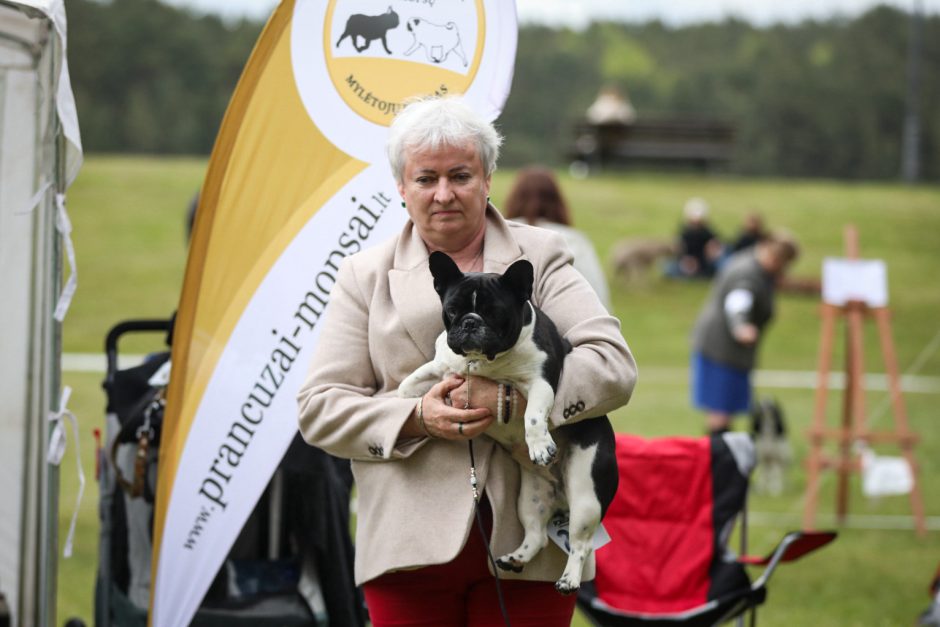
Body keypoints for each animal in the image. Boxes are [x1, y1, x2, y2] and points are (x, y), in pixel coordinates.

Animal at [398, 251, 618, 594]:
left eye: (493, 312)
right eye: (452, 310)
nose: (470, 321)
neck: (483, 362)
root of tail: (561, 493)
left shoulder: (542, 382)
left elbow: (533, 415)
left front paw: (539, 445)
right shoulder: (441, 366)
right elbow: (412, 380)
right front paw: (404, 399)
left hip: (586, 493)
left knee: (580, 544)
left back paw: (568, 579)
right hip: (530, 499)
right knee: (537, 535)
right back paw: (514, 558)